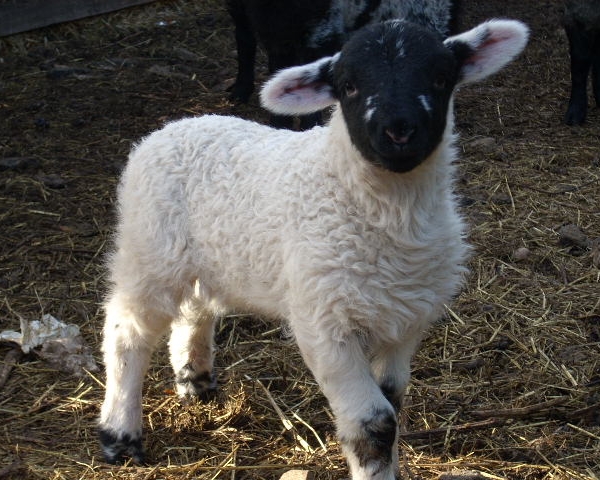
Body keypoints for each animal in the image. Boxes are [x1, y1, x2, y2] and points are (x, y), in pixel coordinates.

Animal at [99, 18, 528, 480]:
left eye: (440, 76)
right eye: (348, 85)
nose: (398, 129)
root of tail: (170, 128)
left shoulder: (405, 321)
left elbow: (393, 404)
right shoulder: (326, 324)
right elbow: (375, 424)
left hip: (206, 258)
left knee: (195, 308)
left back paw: (194, 379)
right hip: (149, 250)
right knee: (127, 330)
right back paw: (119, 432)